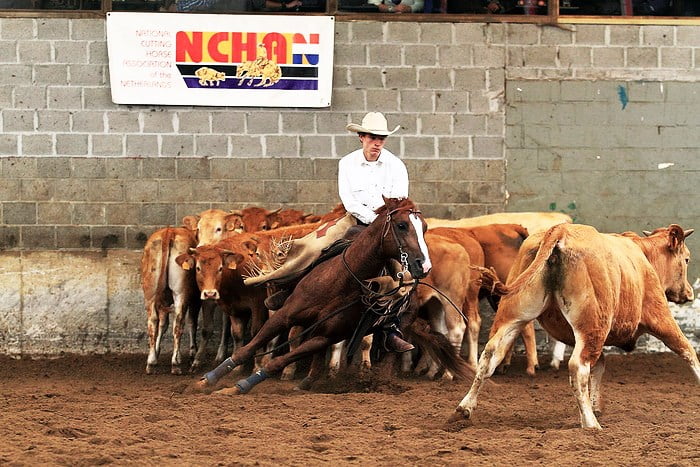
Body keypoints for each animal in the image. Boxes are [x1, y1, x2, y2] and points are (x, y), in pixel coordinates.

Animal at [139, 228, 200, 376]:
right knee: (178, 324)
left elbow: (163, 324)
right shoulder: (195, 299)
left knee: (152, 322)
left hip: (150, 292)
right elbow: (192, 323)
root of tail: (169, 231)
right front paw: (191, 354)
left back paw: (151, 363)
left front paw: (156, 352)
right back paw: (175, 364)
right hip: (181, 293)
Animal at [196, 197, 470, 394]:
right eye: (402, 225)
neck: (342, 281)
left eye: (424, 227)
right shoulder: (286, 314)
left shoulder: (325, 336)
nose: (423, 266)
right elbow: (249, 347)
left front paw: (239, 386)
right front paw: (208, 380)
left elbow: (279, 361)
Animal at [452, 225, 696, 430]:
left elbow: (599, 367)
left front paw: (595, 404)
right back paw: (590, 424)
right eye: (686, 259)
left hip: (513, 316)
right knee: (578, 367)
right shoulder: (660, 316)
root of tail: (559, 230)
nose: (689, 293)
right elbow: (688, 351)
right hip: (592, 327)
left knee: (490, 355)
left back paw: (464, 408)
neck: (643, 256)